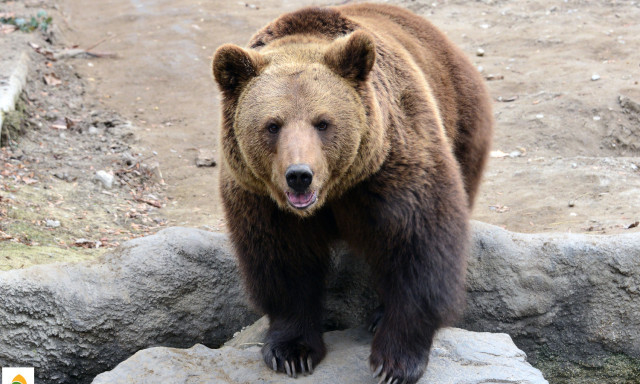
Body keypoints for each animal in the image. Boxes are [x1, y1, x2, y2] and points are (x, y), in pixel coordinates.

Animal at [212, 3, 492, 384]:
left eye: (322, 122)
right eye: (272, 125)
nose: (299, 176)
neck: (334, 193)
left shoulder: (390, 165)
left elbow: (419, 247)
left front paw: (395, 361)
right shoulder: (261, 197)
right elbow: (282, 261)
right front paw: (291, 351)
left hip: (462, 121)